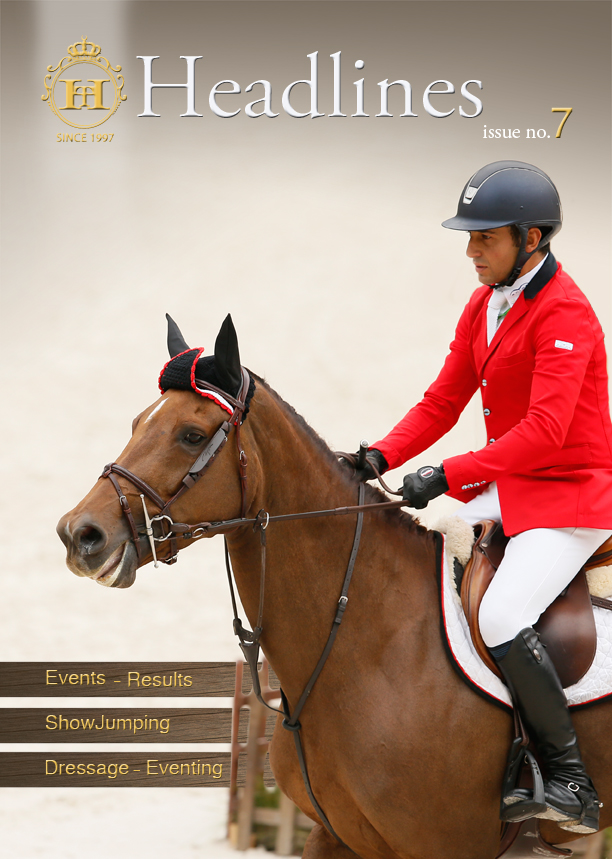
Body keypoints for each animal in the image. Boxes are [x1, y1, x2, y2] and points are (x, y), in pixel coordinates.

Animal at [57, 315, 612, 859]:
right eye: (137, 423)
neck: (370, 644)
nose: (79, 535)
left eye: (191, 435)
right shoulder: (335, 835)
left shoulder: (448, 844)